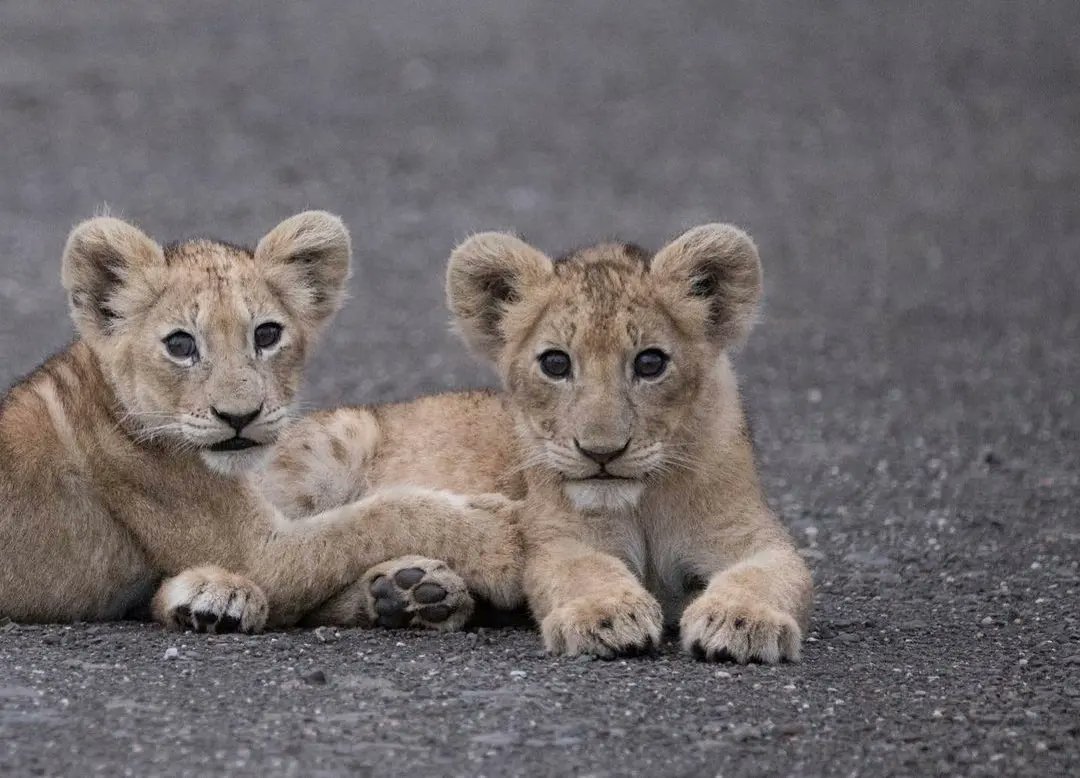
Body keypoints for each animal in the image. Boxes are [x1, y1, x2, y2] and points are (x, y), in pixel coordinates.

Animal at [0, 211, 523, 633]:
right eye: (180, 344)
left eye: (267, 335)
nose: (240, 416)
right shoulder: (256, 554)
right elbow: (382, 515)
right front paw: (504, 537)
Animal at [261, 223, 812, 661]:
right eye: (556, 363)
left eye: (651, 362)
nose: (601, 452)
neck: (644, 501)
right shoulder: (554, 537)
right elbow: (583, 569)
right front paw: (605, 615)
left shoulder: (751, 533)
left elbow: (774, 573)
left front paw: (741, 622)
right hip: (338, 441)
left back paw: (411, 594)